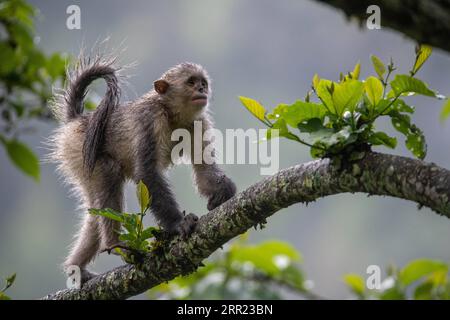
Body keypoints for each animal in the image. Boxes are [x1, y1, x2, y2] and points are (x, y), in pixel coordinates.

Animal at [49, 55, 237, 282]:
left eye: (203, 83)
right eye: (191, 82)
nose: (202, 89)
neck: (171, 113)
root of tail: (77, 120)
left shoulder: (198, 122)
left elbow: (203, 170)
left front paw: (223, 192)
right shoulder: (150, 119)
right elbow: (146, 173)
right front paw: (177, 224)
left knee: (94, 212)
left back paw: (76, 268)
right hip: (79, 150)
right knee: (109, 173)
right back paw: (114, 245)